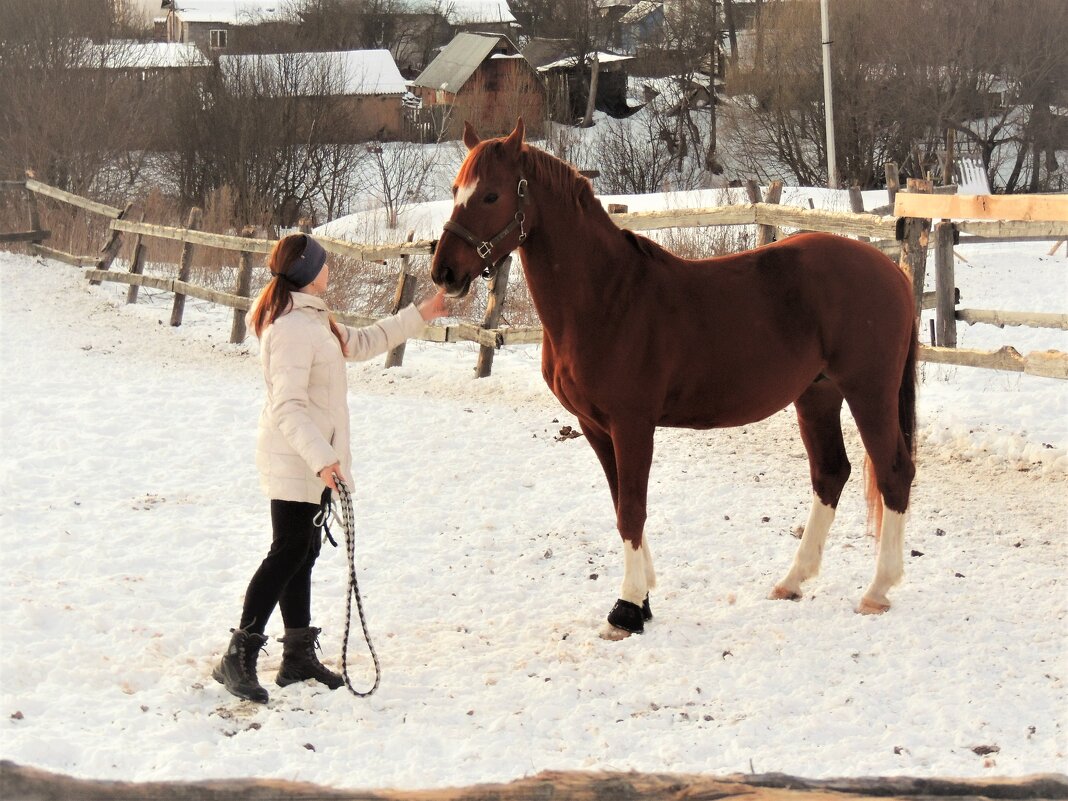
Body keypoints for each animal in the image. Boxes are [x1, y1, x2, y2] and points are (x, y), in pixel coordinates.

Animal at [433, 120, 918, 640]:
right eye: (455, 191)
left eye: (491, 195)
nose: (444, 272)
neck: (606, 297)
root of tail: (892, 270)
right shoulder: (594, 426)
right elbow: (621, 505)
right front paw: (643, 598)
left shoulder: (631, 425)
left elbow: (631, 510)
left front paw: (625, 609)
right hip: (817, 395)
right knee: (831, 473)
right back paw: (792, 581)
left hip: (868, 391)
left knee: (893, 472)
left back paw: (877, 591)